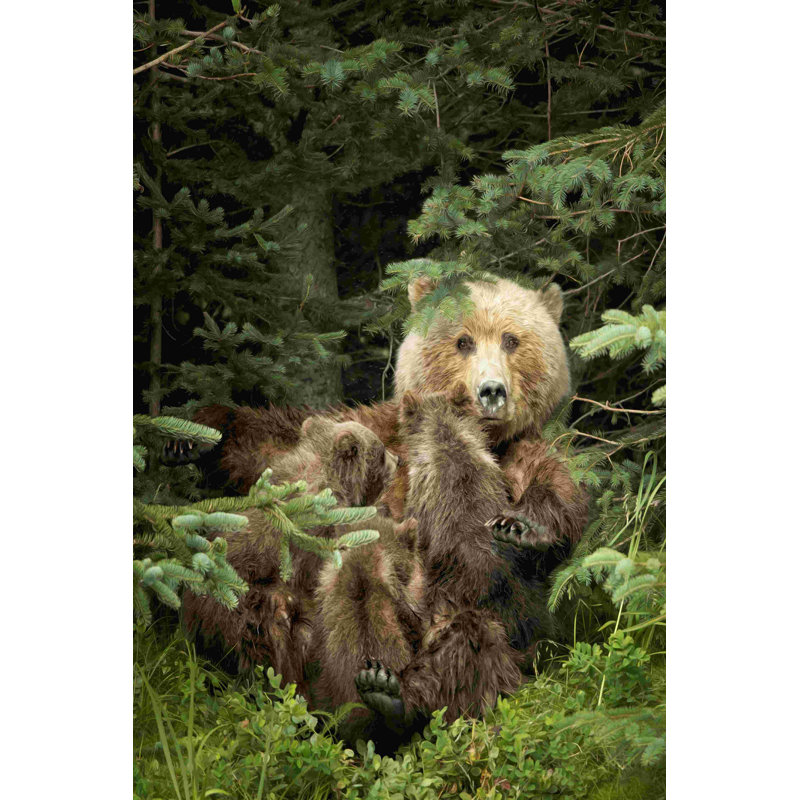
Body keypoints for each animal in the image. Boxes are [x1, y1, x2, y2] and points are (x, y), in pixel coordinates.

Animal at [353, 384, 560, 738]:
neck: (448, 442)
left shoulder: (419, 498)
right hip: (534, 616)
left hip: (456, 618)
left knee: (447, 656)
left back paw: (386, 692)